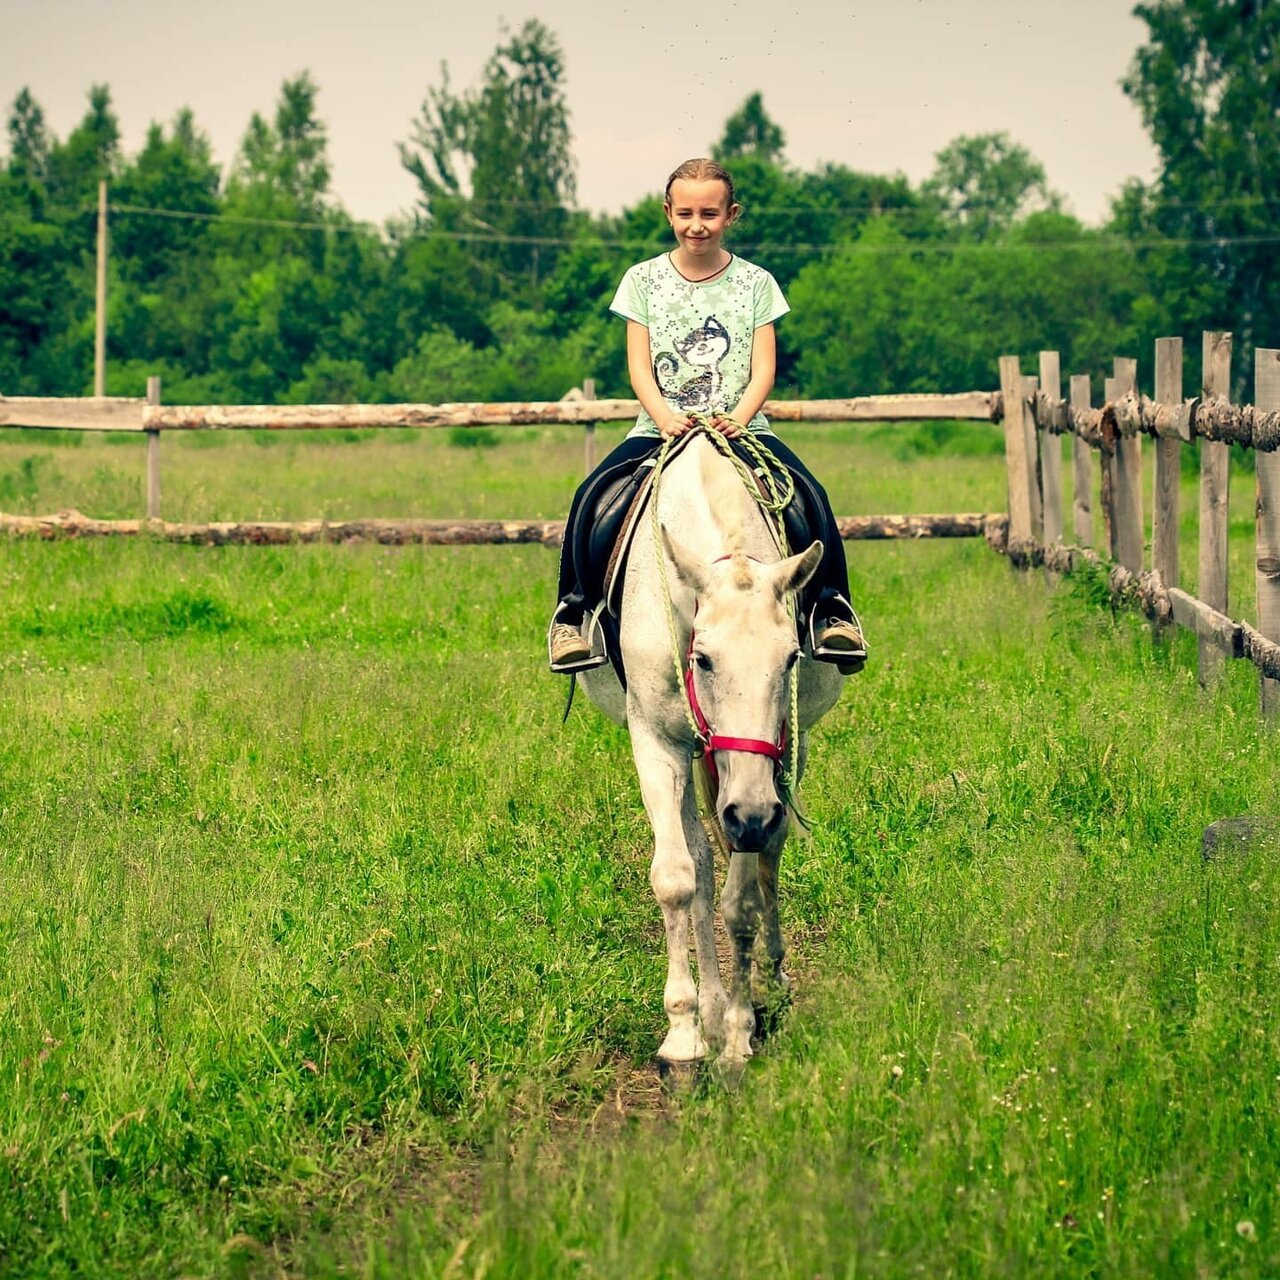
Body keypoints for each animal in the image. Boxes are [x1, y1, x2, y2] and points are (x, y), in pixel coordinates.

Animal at [583, 432, 849, 1070]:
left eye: (790, 657)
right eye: (701, 659)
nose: (748, 814)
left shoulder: (768, 773)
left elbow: (745, 896)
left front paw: (737, 1033)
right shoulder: (657, 745)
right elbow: (678, 878)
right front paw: (684, 1034)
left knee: (767, 853)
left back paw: (768, 986)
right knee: (701, 860)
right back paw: (706, 1005)